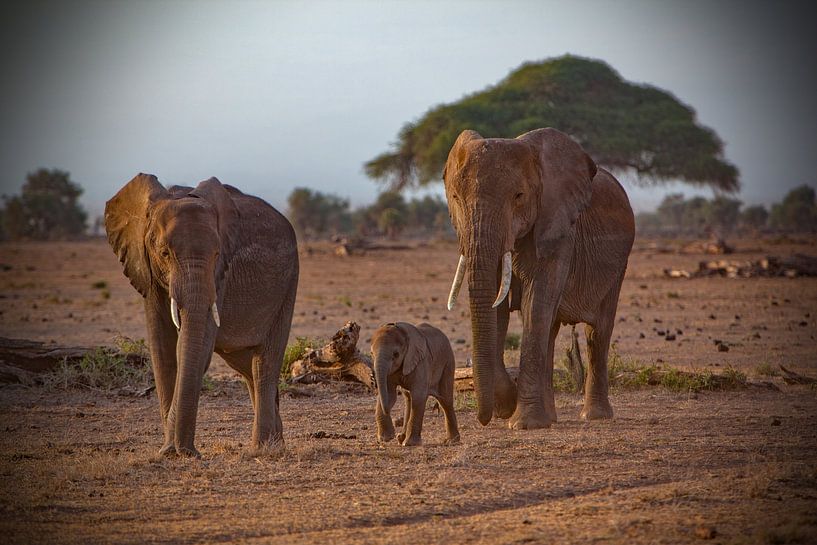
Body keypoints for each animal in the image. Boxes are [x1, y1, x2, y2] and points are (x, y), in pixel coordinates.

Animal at [103, 174, 298, 454]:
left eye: (217, 254)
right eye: (164, 253)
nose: (185, 452)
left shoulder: (219, 275)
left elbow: (197, 345)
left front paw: (175, 450)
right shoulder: (145, 269)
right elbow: (162, 350)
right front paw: (168, 451)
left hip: (288, 285)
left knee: (264, 364)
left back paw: (262, 449)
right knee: (244, 364)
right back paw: (273, 444)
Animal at [444, 127, 636, 430]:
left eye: (519, 196)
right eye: (455, 198)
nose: (484, 418)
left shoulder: (559, 228)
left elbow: (536, 303)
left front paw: (522, 422)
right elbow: (498, 308)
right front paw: (509, 407)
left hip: (620, 264)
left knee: (598, 331)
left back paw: (593, 416)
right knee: (553, 329)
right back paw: (551, 418)